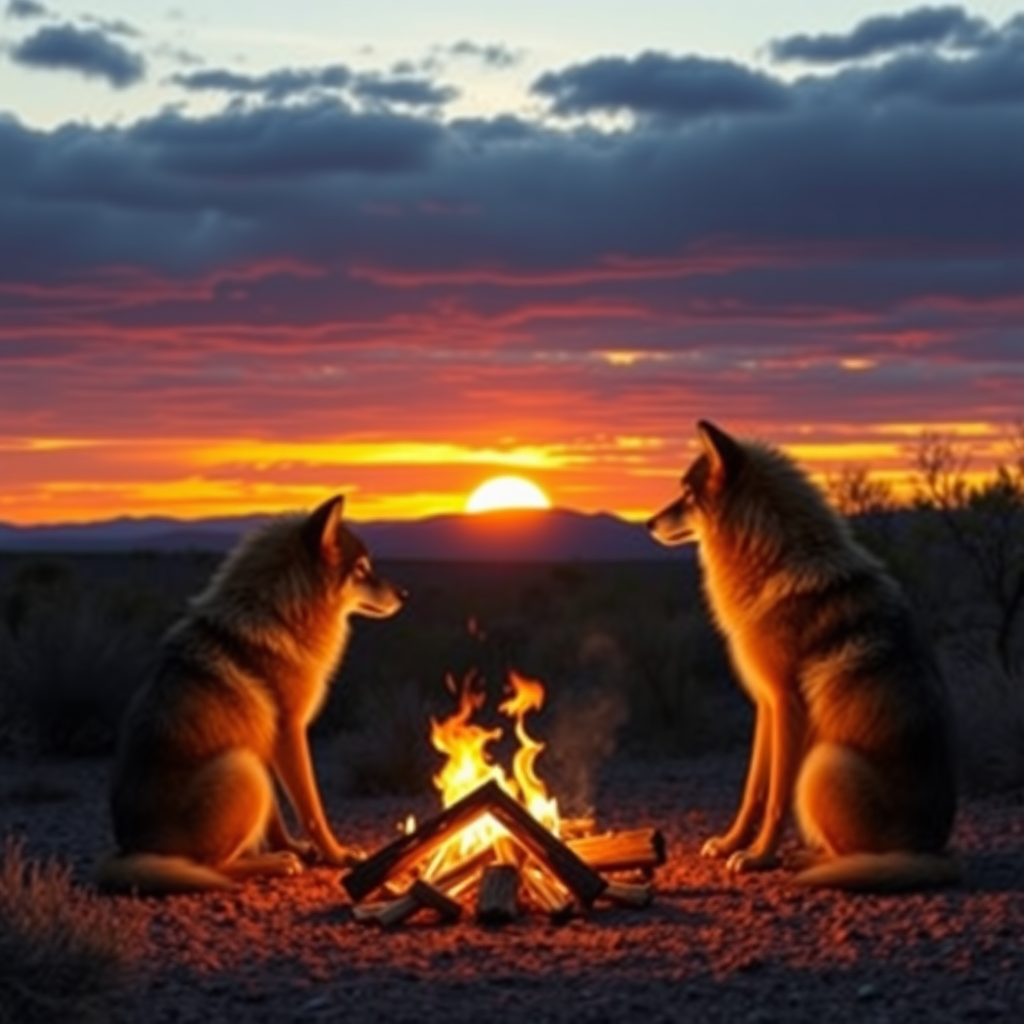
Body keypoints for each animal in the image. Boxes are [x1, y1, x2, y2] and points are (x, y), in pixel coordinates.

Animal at [96, 495, 405, 897]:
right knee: (210, 867)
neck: (280, 615)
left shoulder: (267, 742)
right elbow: (312, 810)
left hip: (252, 765)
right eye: (362, 569)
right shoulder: (289, 734)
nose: (405, 595)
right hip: (243, 767)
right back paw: (274, 864)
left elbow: (276, 820)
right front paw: (337, 856)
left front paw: (295, 848)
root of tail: (129, 850)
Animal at [647, 419, 958, 892]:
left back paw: (805, 862)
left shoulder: (787, 705)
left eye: (686, 494)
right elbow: (753, 791)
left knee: (854, 855)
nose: (647, 523)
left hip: (821, 763)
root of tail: (932, 850)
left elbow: (775, 797)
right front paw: (731, 844)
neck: (776, 562)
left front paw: (758, 858)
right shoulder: (766, 705)